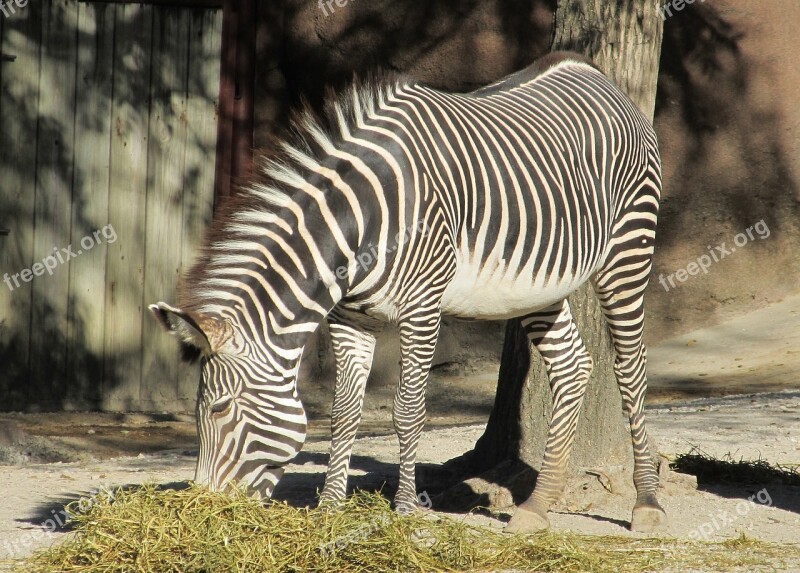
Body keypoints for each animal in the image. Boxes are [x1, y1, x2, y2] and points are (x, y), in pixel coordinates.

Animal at [152, 51, 668, 536]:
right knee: (573, 367)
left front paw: (403, 509)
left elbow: (408, 411)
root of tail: (595, 74)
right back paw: (536, 507)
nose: (203, 505)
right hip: (539, 284)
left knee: (631, 370)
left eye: (219, 408)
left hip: (628, 248)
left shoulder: (422, 307)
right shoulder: (349, 318)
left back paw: (646, 504)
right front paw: (331, 508)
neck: (359, 226)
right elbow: (344, 414)